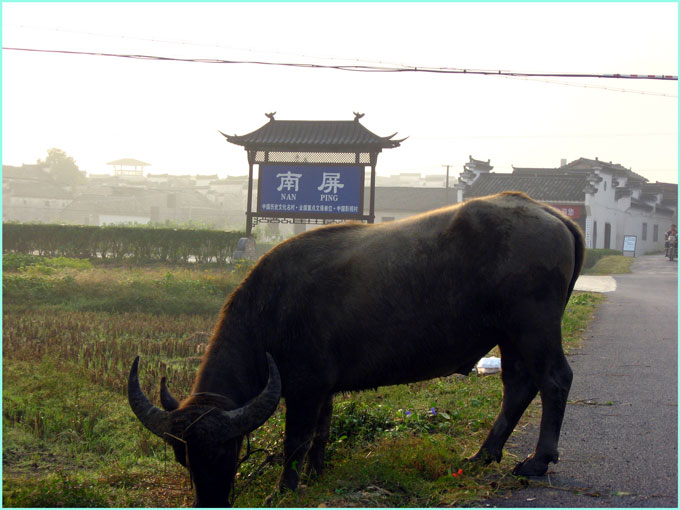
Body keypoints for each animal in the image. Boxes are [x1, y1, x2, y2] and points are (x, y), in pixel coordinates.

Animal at [129, 191, 585, 507]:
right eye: (182, 456)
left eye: (228, 451)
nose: (209, 501)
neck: (271, 307)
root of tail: (551, 214)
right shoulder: (322, 388)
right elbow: (322, 433)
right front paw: (316, 474)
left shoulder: (304, 387)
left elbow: (296, 440)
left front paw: (285, 489)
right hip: (510, 334)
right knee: (518, 386)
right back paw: (484, 455)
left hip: (534, 327)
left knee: (555, 379)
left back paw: (538, 460)